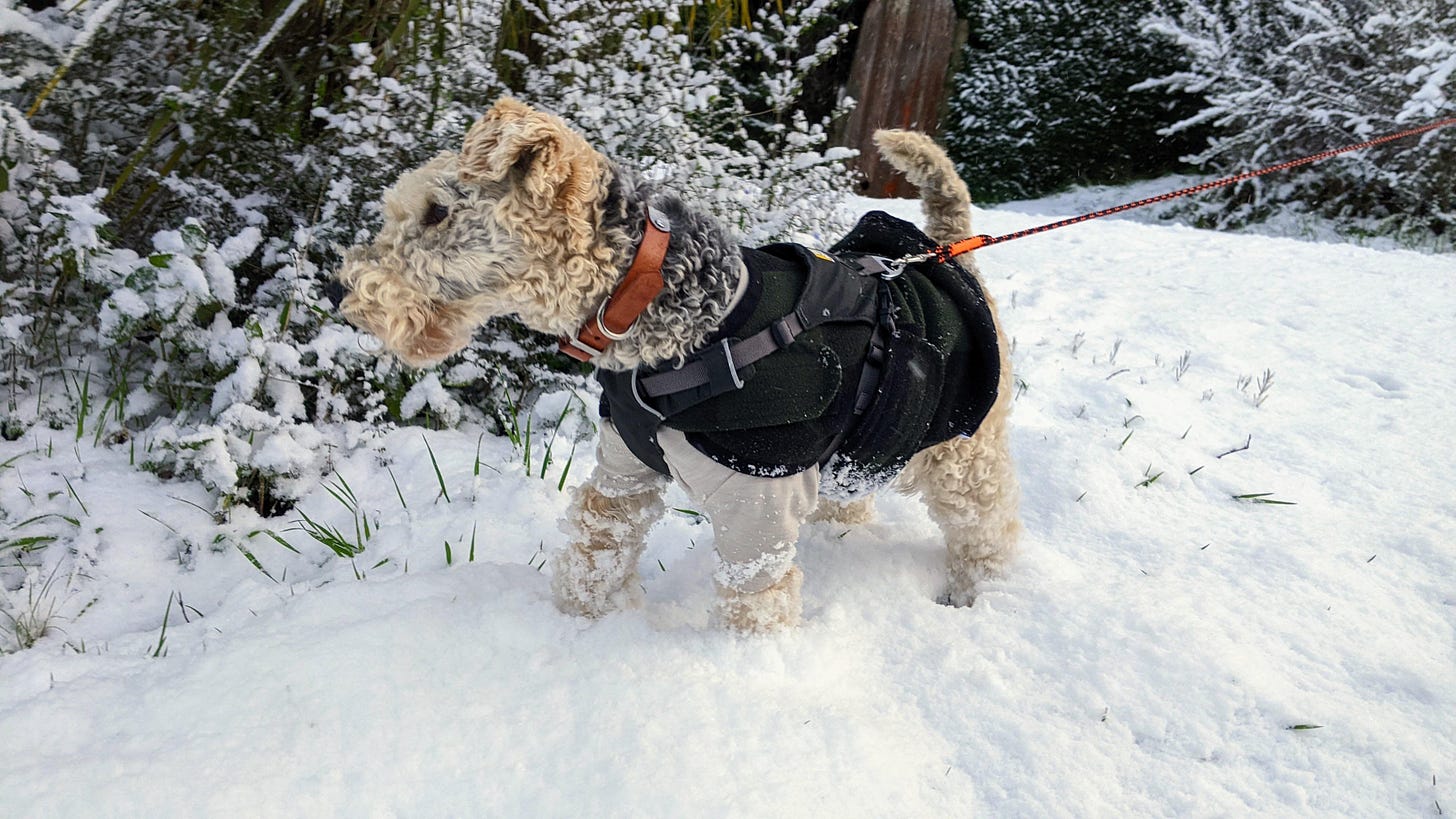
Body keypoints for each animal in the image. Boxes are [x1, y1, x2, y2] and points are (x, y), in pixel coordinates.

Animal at [337, 95, 1025, 632]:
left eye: (436, 211)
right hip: (860, 458)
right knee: (855, 503)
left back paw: (982, 598)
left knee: (989, 532)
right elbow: (593, 557)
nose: (348, 296)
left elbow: (754, 604)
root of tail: (952, 253)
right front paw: (576, 632)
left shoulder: (757, 516)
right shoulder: (621, 479)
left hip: (965, 457)